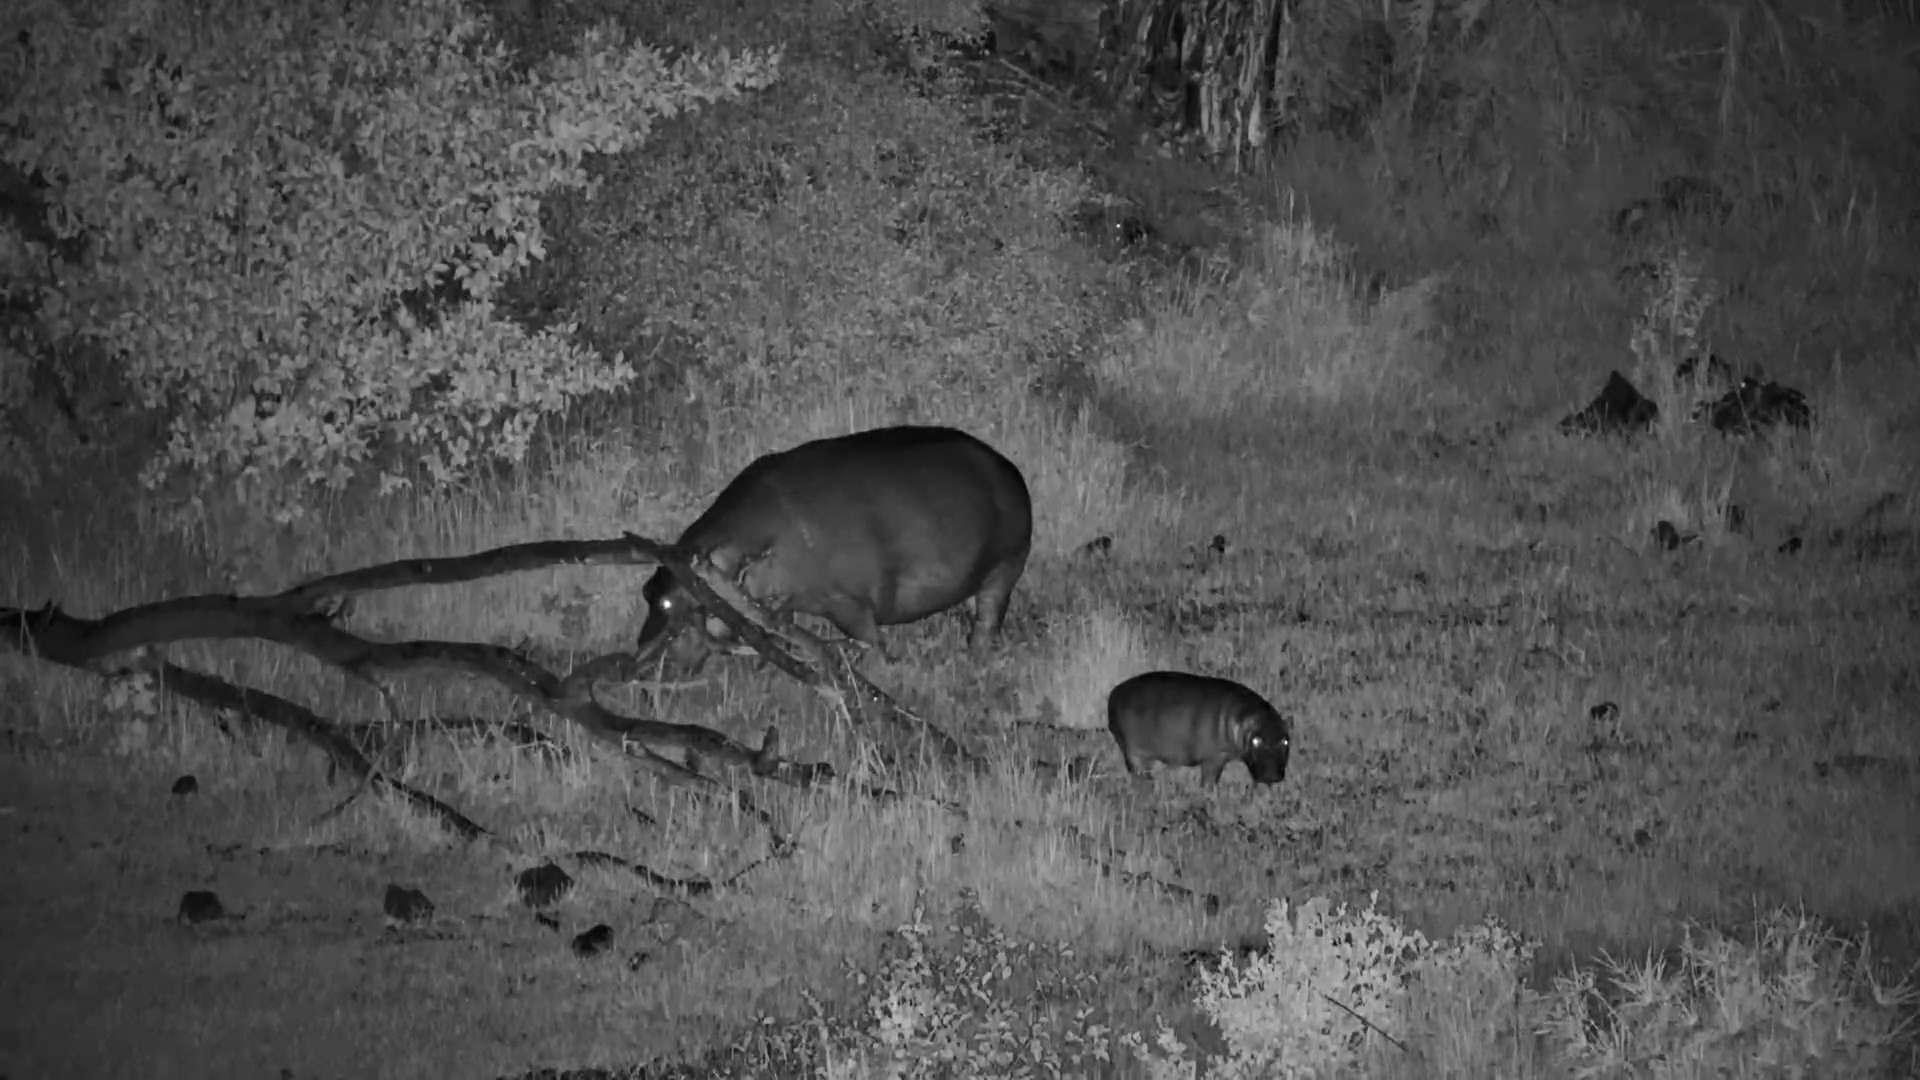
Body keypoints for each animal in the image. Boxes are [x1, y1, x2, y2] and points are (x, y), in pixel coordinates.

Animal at [637, 425, 1033, 668]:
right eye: (646, 590)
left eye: (670, 602)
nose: (637, 659)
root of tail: (1009, 466)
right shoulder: (781, 606)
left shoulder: (848, 603)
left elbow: (871, 643)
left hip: (1004, 570)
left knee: (987, 621)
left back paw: (978, 659)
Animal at [1106, 671, 1291, 786]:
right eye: (1256, 740)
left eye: (1286, 741)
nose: (1271, 776)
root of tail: (1114, 692)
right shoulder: (1215, 756)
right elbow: (1210, 779)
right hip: (1133, 751)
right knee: (1139, 774)